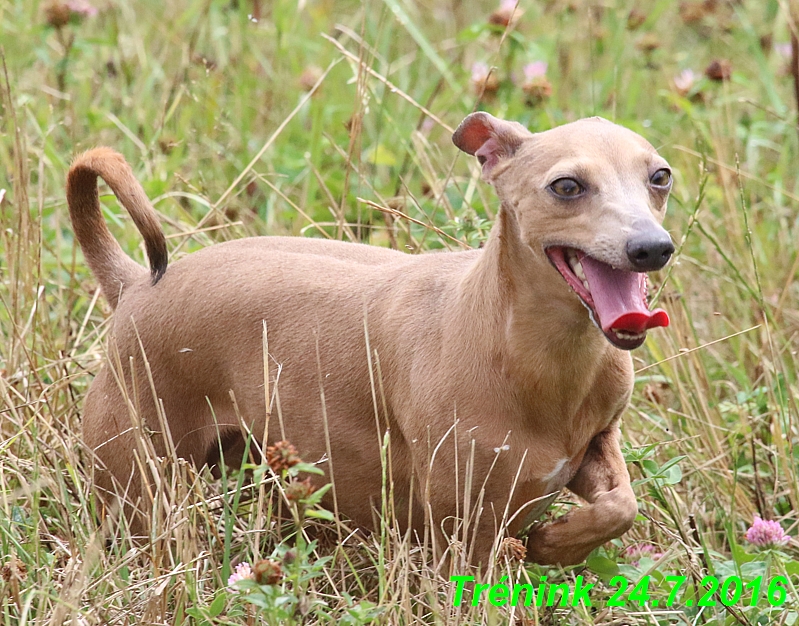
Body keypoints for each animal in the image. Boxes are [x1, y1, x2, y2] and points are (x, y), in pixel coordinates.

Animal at [69, 113, 672, 564]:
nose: (653, 247)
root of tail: (133, 285)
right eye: (567, 186)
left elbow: (622, 507)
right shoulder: (462, 530)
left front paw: (557, 542)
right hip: (139, 492)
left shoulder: (596, 444)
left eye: (660, 177)